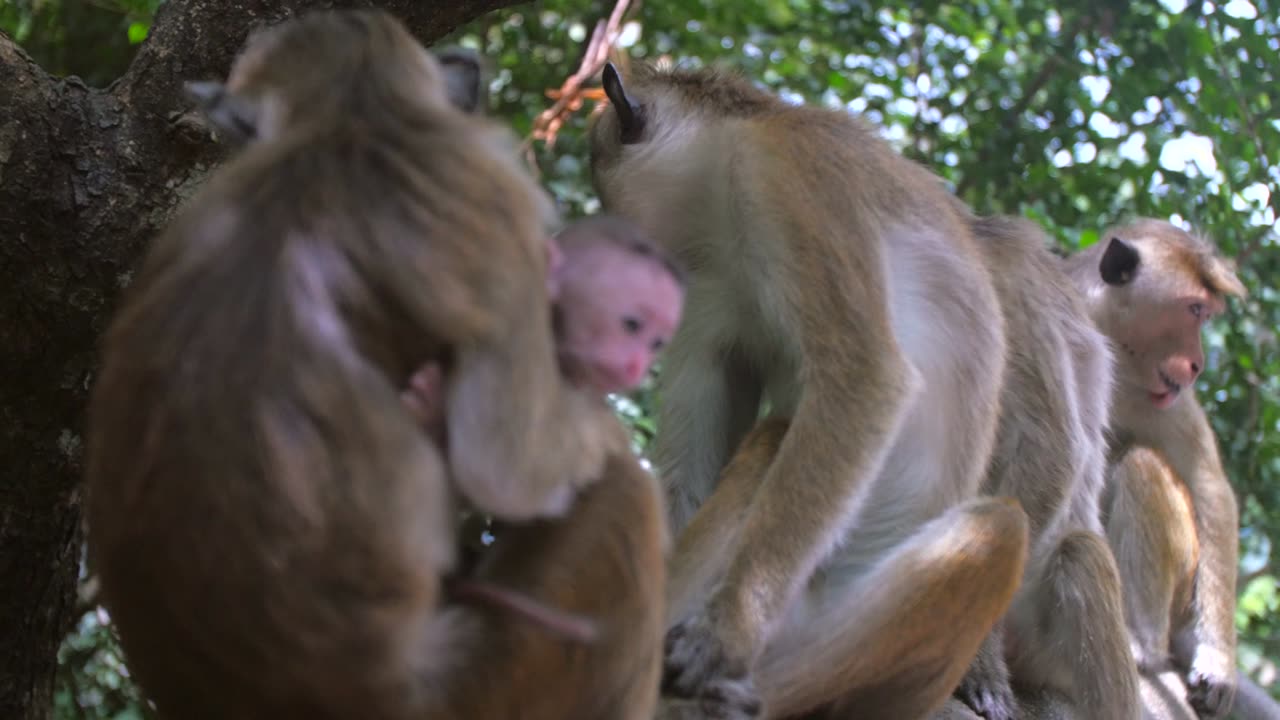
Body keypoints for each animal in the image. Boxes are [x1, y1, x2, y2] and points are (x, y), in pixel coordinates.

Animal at [588, 61, 1049, 717]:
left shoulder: (790, 170)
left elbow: (867, 377)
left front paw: (727, 632)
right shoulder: (708, 285)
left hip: (833, 652)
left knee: (997, 527)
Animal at [1059, 220, 1249, 717]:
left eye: (1206, 315)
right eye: (1194, 309)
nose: (1198, 365)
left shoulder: (1166, 398)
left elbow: (1209, 487)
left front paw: (1218, 663)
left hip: (1186, 584)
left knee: (1142, 466)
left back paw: (1141, 644)